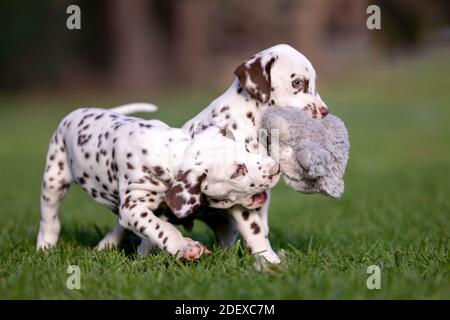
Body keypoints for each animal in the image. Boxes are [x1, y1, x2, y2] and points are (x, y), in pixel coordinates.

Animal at [37, 104, 280, 260]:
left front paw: (271, 263)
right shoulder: (133, 207)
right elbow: (160, 228)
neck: (170, 153)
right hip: (54, 180)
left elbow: (255, 231)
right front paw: (184, 247)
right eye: (238, 171)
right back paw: (45, 246)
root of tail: (78, 112)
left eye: (247, 149)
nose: (275, 168)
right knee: (50, 218)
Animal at [180, 43, 330, 264]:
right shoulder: (241, 195)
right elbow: (255, 230)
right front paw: (270, 261)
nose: (325, 112)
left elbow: (263, 228)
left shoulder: (263, 192)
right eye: (297, 82)